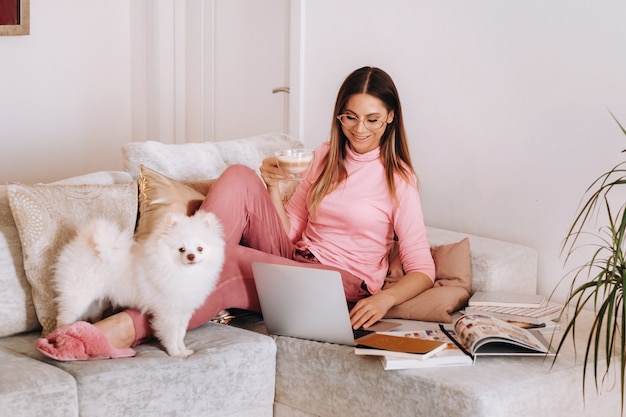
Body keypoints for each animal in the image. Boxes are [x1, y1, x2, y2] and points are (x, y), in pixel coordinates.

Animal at [53, 211, 224, 358]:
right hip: (77, 296)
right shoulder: (167, 313)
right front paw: (175, 353)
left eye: (200, 248)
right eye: (181, 249)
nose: (191, 256)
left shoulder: (182, 311)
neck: (182, 272)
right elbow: (171, 335)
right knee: (63, 318)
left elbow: (180, 334)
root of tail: (83, 241)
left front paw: (183, 350)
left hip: (94, 302)